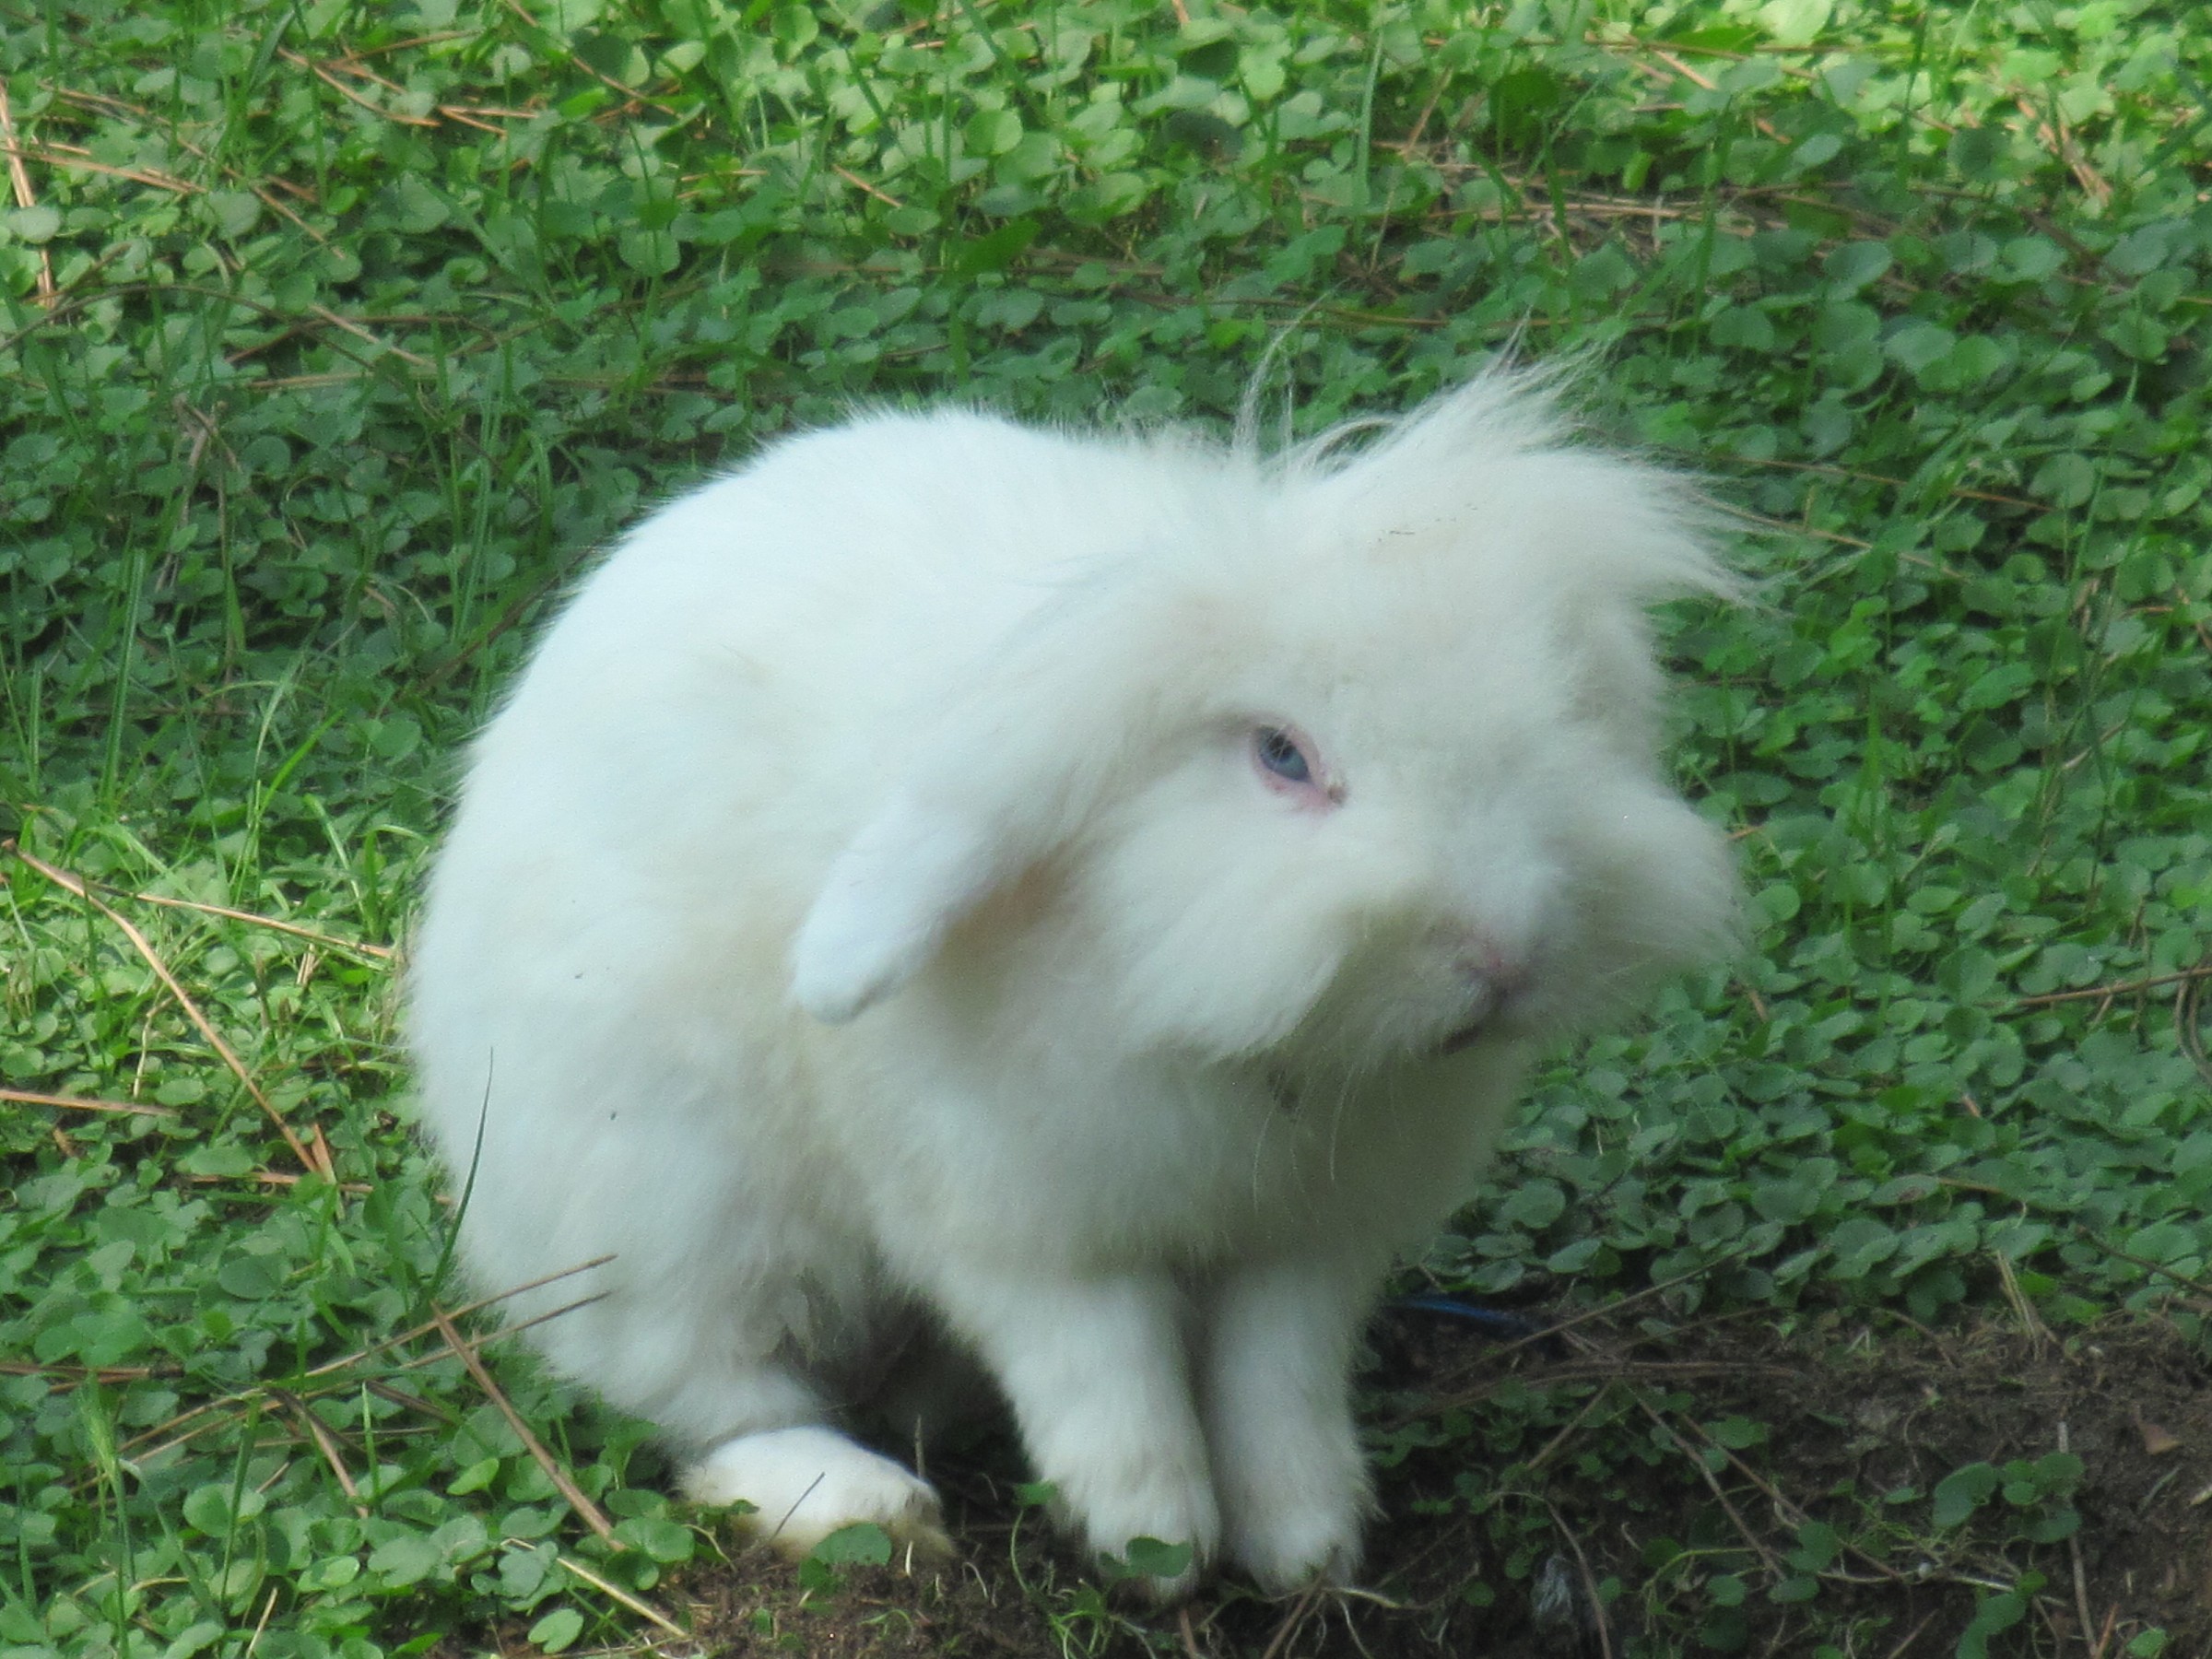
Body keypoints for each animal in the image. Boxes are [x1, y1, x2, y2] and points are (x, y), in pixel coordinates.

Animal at [405, 367, 1741, 1596]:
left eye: (1560, 720)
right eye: (1281, 756)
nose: (1505, 953)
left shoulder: (1308, 1242)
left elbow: (1278, 1381)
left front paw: (1304, 1547)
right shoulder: (1027, 1222)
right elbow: (1103, 1371)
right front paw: (1156, 1545)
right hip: (664, 1198)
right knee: (711, 1398)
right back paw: (864, 1503)